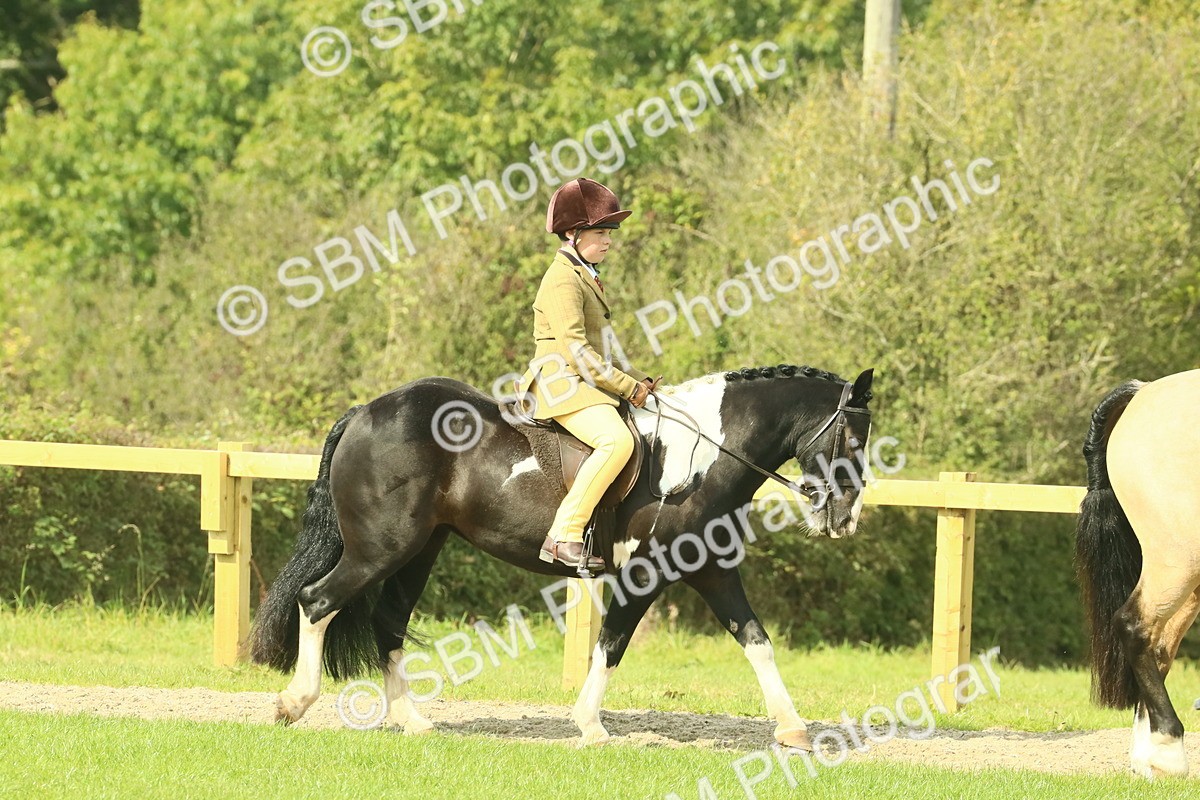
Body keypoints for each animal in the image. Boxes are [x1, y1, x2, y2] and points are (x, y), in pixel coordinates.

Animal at [250, 362, 875, 750]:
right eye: (851, 439)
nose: (845, 517)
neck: (704, 457)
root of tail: (364, 412)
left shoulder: (711, 570)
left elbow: (757, 642)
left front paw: (794, 730)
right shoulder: (645, 574)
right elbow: (612, 644)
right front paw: (591, 727)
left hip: (419, 549)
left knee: (387, 622)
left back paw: (413, 721)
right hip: (382, 548)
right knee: (317, 601)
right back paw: (293, 703)